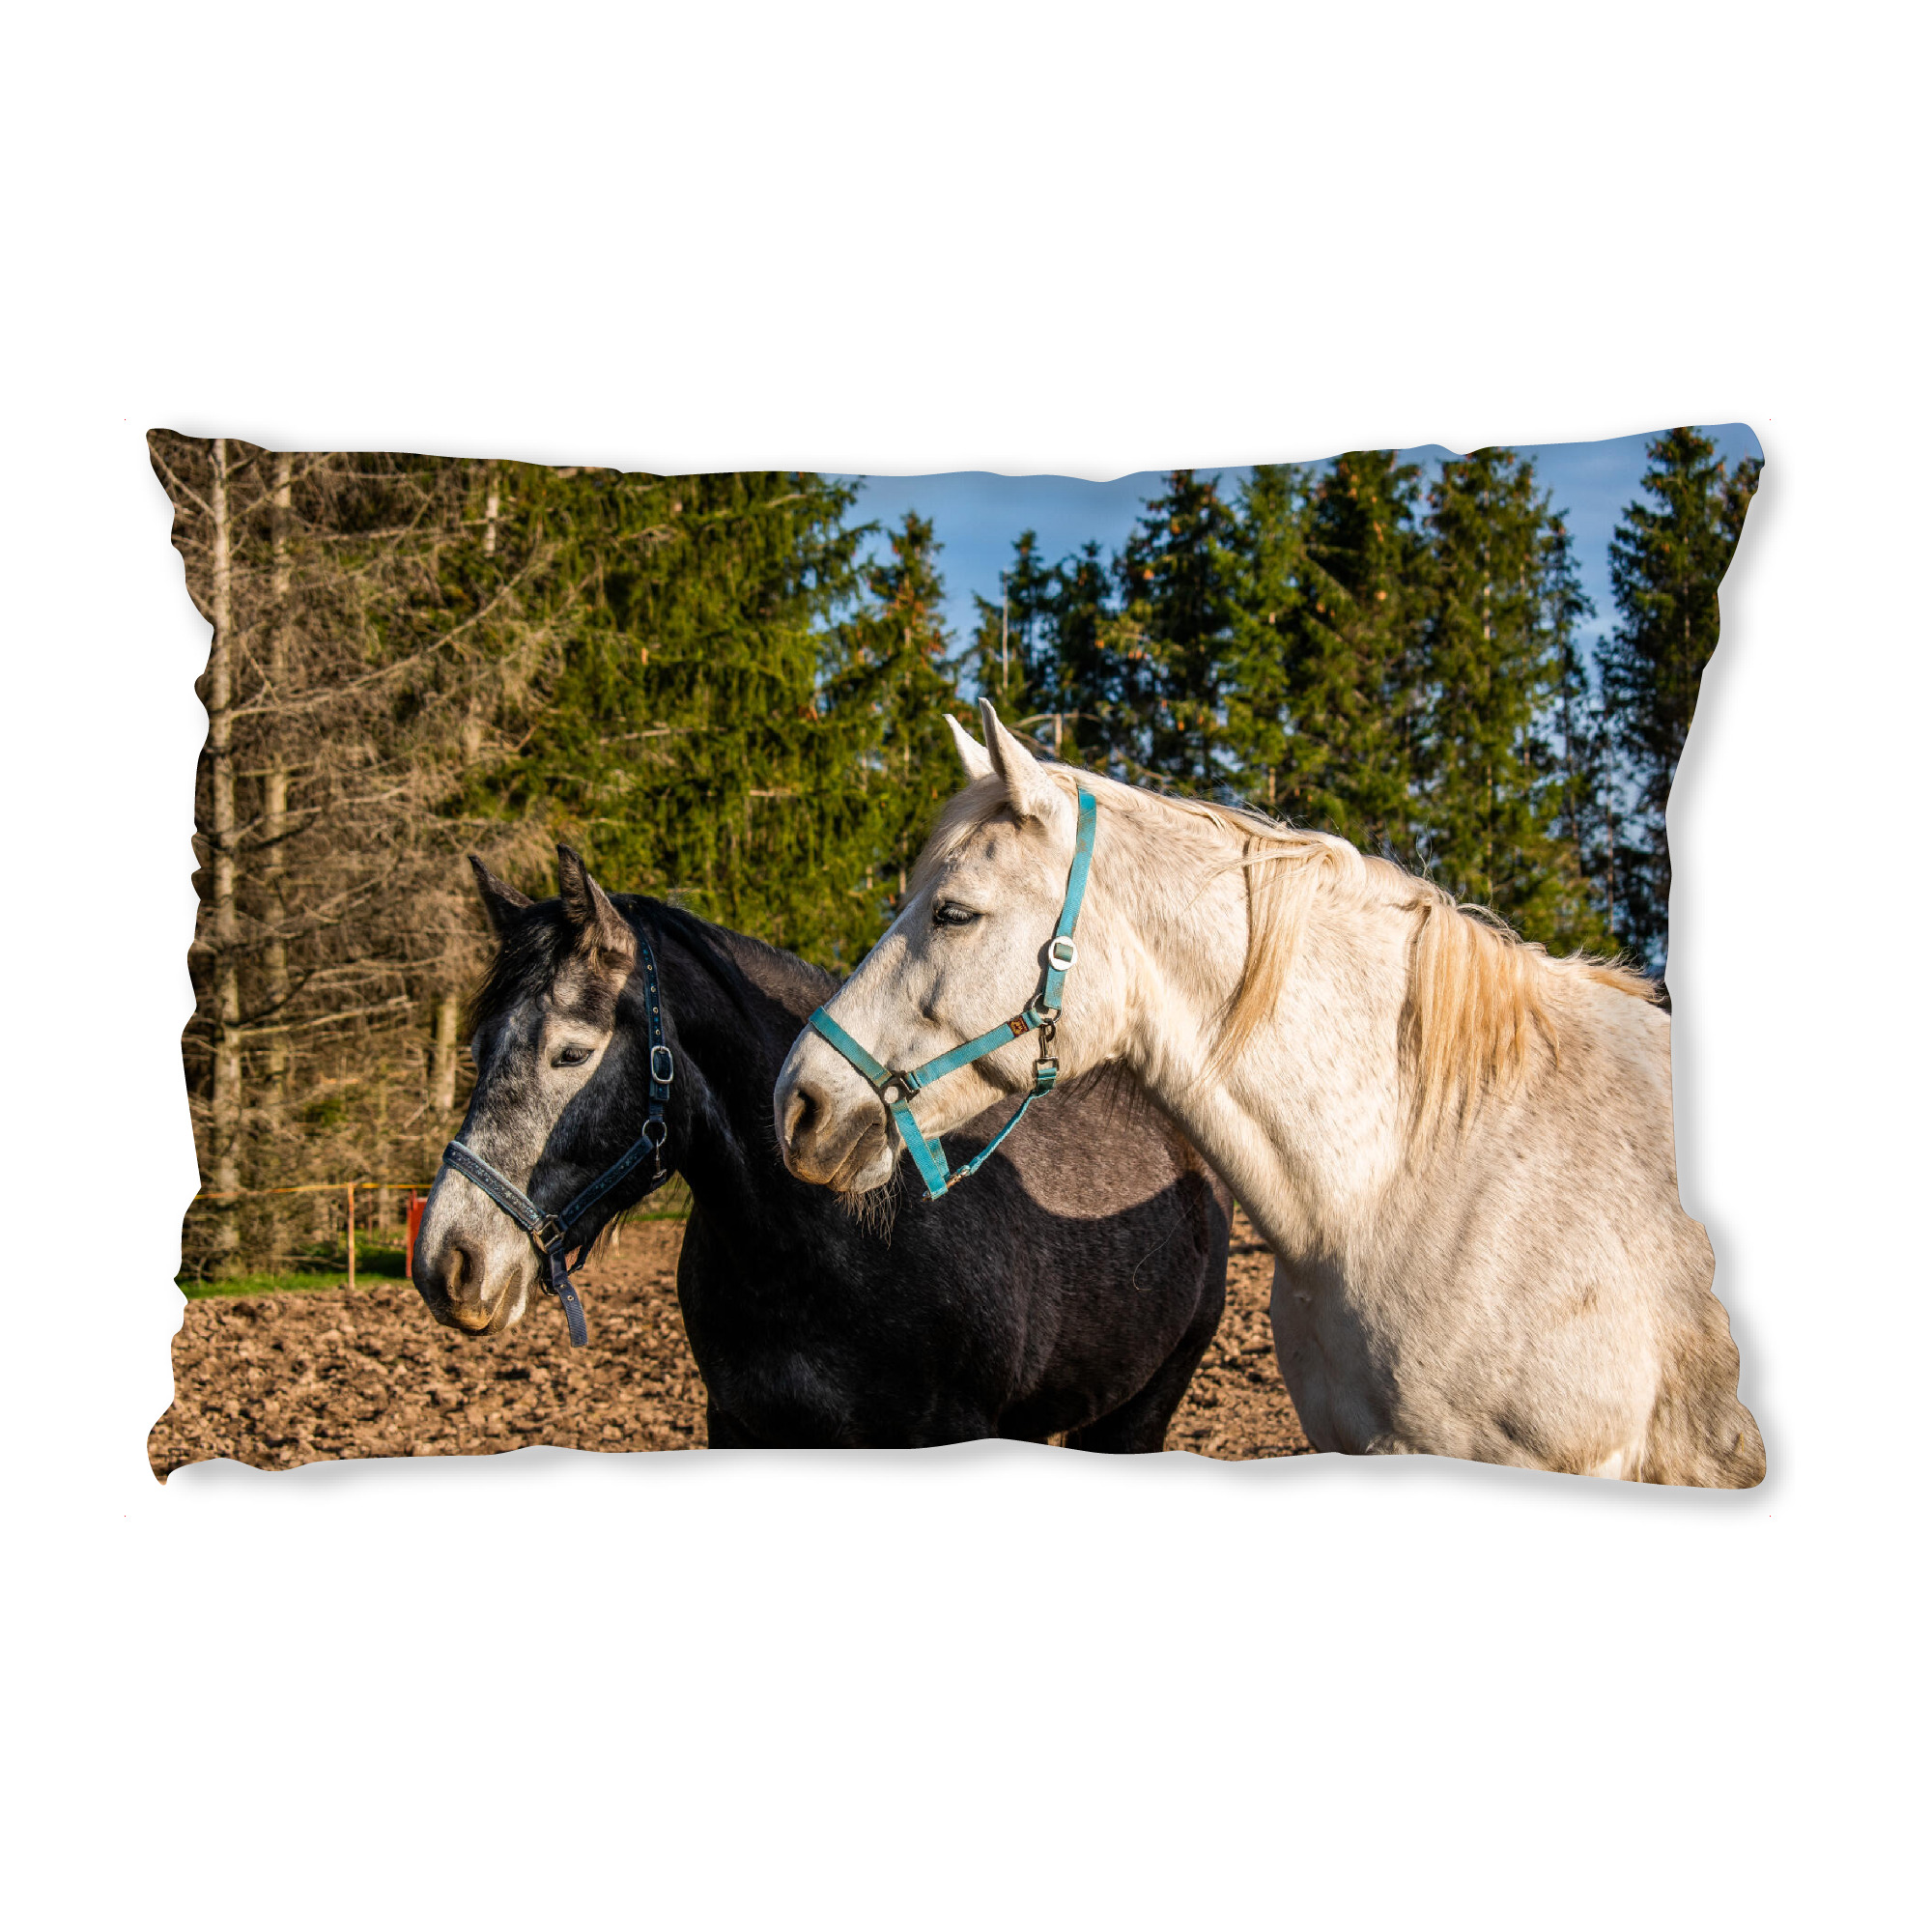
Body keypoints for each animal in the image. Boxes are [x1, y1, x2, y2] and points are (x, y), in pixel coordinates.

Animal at [411, 847, 1232, 1450]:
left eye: (572, 1054)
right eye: (478, 1048)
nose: (448, 1264)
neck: (822, 1241)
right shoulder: (739, 1425)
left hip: (1138, 1411)